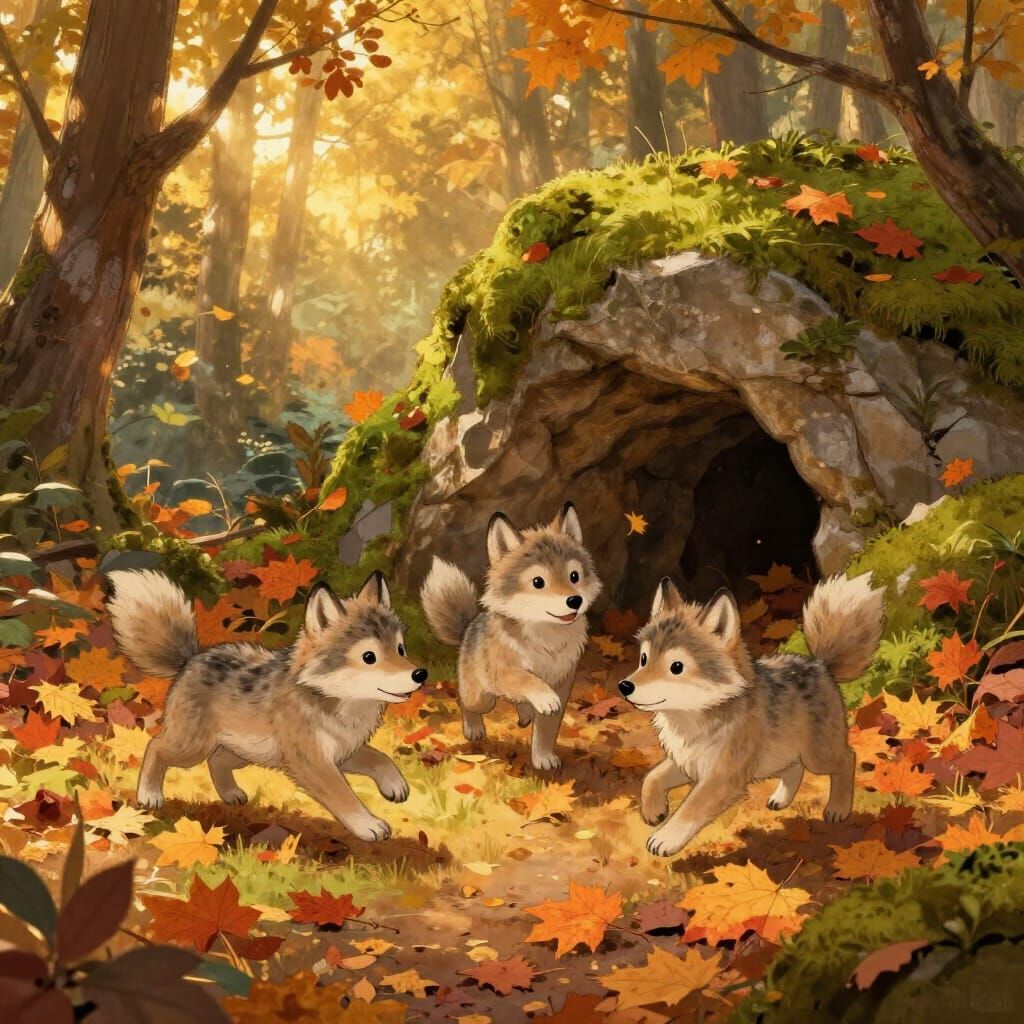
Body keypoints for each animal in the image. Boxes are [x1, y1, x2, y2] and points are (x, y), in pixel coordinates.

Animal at [106, 569, 427, 842]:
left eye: (401, 649)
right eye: (369, 657)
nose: (421, 674)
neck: (338, 703)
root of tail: (191, 659)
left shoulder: (342, 751)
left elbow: (380, 759)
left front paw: (395, 785)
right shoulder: (312, 761)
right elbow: (344, 796)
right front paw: (369, 825)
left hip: (245, 752)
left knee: (216, 761)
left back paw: (231, 794)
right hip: (192, 748)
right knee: (155, 746)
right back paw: (149, 794)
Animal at [420, 502, 602, 771]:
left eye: (574, 576)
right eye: (538, 581)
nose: (575, 601)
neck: (547, 641)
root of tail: (468, 627)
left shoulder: (562, 683)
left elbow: (547, 729)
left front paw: (543, 757)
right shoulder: (504, 671)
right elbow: (527, 680)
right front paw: (542, 698)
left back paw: (526, 714)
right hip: (482, 698)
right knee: (467, 703)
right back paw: (474, 728)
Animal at [618, 574, 884, 857]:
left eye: (676, 667)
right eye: (644, 659)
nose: (624, 686)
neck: (695, 720)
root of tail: (821, 665)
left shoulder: (722, 776)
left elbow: (690, 808)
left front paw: (665, 838)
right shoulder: (688, 762)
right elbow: (651, 778)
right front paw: (653, 811)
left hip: (817, 756)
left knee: (848, 758)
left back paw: (838, 808)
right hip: (782, 755)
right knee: (796, 768)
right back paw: (781, 799)